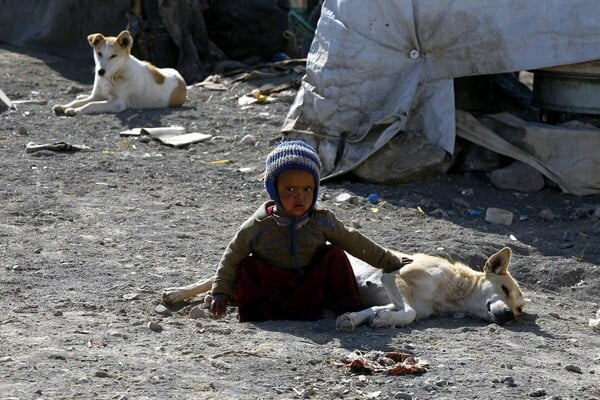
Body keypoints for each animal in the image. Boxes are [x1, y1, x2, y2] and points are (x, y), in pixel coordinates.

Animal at [53, 30, 186, 115]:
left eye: (113, 56)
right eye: (99, 54)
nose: (100, 72)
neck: (113, 76)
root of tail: (182, 80)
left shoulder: (117, 103)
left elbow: (92, 105)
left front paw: (76, 110)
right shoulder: (96, 96)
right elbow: (77, 102)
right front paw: (64, 106)